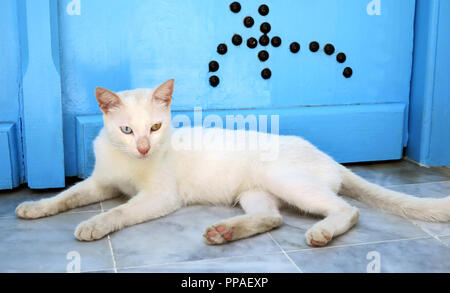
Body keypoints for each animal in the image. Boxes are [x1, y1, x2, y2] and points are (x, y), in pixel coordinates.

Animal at [15, 80, 450, 246]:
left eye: (155, 127)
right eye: (126, 130)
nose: (143, 147)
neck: (130, 164)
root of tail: (329, 157)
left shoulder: (158, 198)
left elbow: (117, 211)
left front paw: (93, 225)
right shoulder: (100, 183)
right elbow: (66, 197)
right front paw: (34, 207)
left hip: (286, 179)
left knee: (347, 209)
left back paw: (322, 232)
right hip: (254, 192)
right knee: (273, 217)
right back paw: (224, 232)